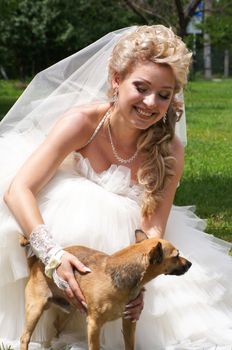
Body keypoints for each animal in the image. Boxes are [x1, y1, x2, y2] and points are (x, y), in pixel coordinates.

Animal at [19, 230, 190, 350]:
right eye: (176, 256)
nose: (190, 264)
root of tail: (36, 263)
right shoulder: (94, 325)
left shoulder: (129, 321)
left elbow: (130, 345)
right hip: (35, 309)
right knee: (24, 337)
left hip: (70, 309)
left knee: (57, 327)